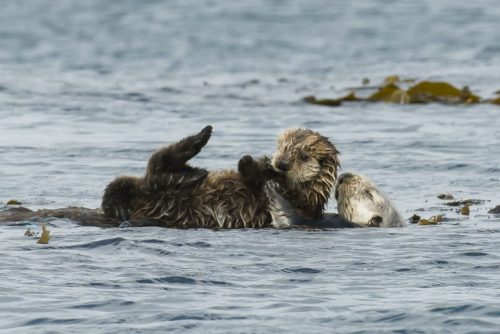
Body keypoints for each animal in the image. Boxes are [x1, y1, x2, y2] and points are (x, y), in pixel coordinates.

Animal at [99, 124, 342, 228]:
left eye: (303, 156)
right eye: (282, 147)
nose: (280, 164)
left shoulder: (297, 204)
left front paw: (250, 163)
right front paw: (260, 162)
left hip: (155, 190)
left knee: (158, 166)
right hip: (153, 185)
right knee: (158, 164)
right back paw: (200, 144)